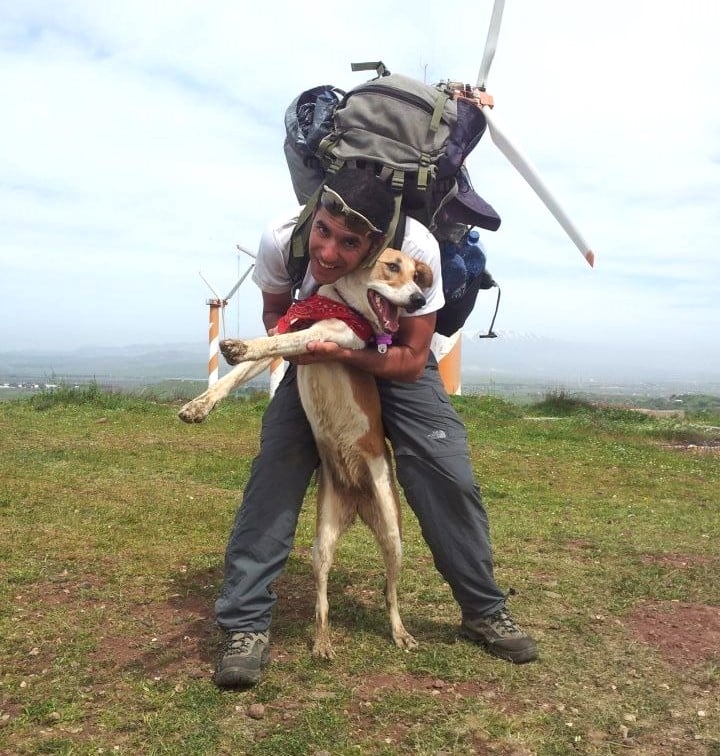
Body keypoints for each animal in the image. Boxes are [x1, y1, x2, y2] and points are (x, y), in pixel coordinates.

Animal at [180, 248, 434, 656]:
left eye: (416, 275)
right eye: (392, 266)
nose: (418, 301)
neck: (340, 302)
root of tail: (357, 500)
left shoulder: (331, 336)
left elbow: (277, 343)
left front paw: (241, 346)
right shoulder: (293, 334)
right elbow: (233, 377)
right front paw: (198, 406)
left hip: (393, 533)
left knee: (390, 593)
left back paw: (400, 632)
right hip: (321, 543)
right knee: (322, 600)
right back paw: (322, 642)